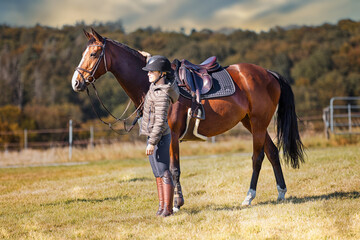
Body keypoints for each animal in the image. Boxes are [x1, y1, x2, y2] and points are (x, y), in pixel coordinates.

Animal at [72, 28, 304, 210]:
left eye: (94, 53)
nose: (76, 82)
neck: (155, 85)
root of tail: (269, 74)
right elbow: (164, 169)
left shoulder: (173, 135)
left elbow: (174, 169)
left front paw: (176, 204)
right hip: (251, 123)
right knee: (272, 152)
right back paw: (281, 192)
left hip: (258, 123)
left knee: (258, 157)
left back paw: (248, 197)